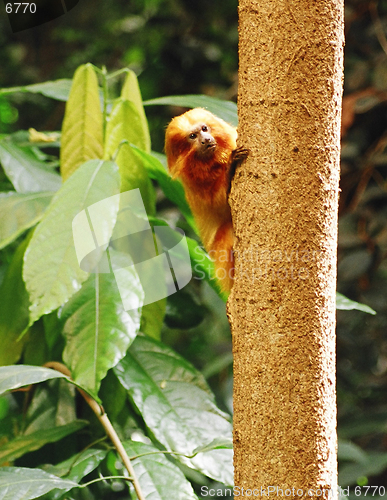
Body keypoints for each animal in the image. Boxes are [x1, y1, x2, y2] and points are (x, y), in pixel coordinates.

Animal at [164, 107, 249, 292]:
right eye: (193, 136)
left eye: (204, 129)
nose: (206, 140)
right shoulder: (194, 186)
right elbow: (221, 207)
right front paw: (230, 167)